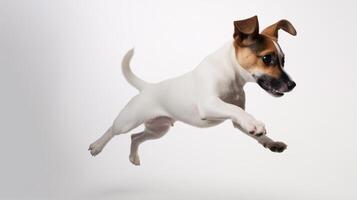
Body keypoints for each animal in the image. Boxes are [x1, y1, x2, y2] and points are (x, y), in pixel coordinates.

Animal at [89, 16, 298, 166]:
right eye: (267, 59)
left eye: (283, 60)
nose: (292, 85)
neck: (231, 73)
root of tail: (148, 87)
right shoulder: (209, 104)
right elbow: (235, 110)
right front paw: (255, 123)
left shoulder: (236, 122)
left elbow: (247, 123)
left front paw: (271, 142)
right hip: (128, 120)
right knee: (113, 129)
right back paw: (97, 146)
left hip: (158, 129)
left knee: (136, 137)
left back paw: (133, 157)